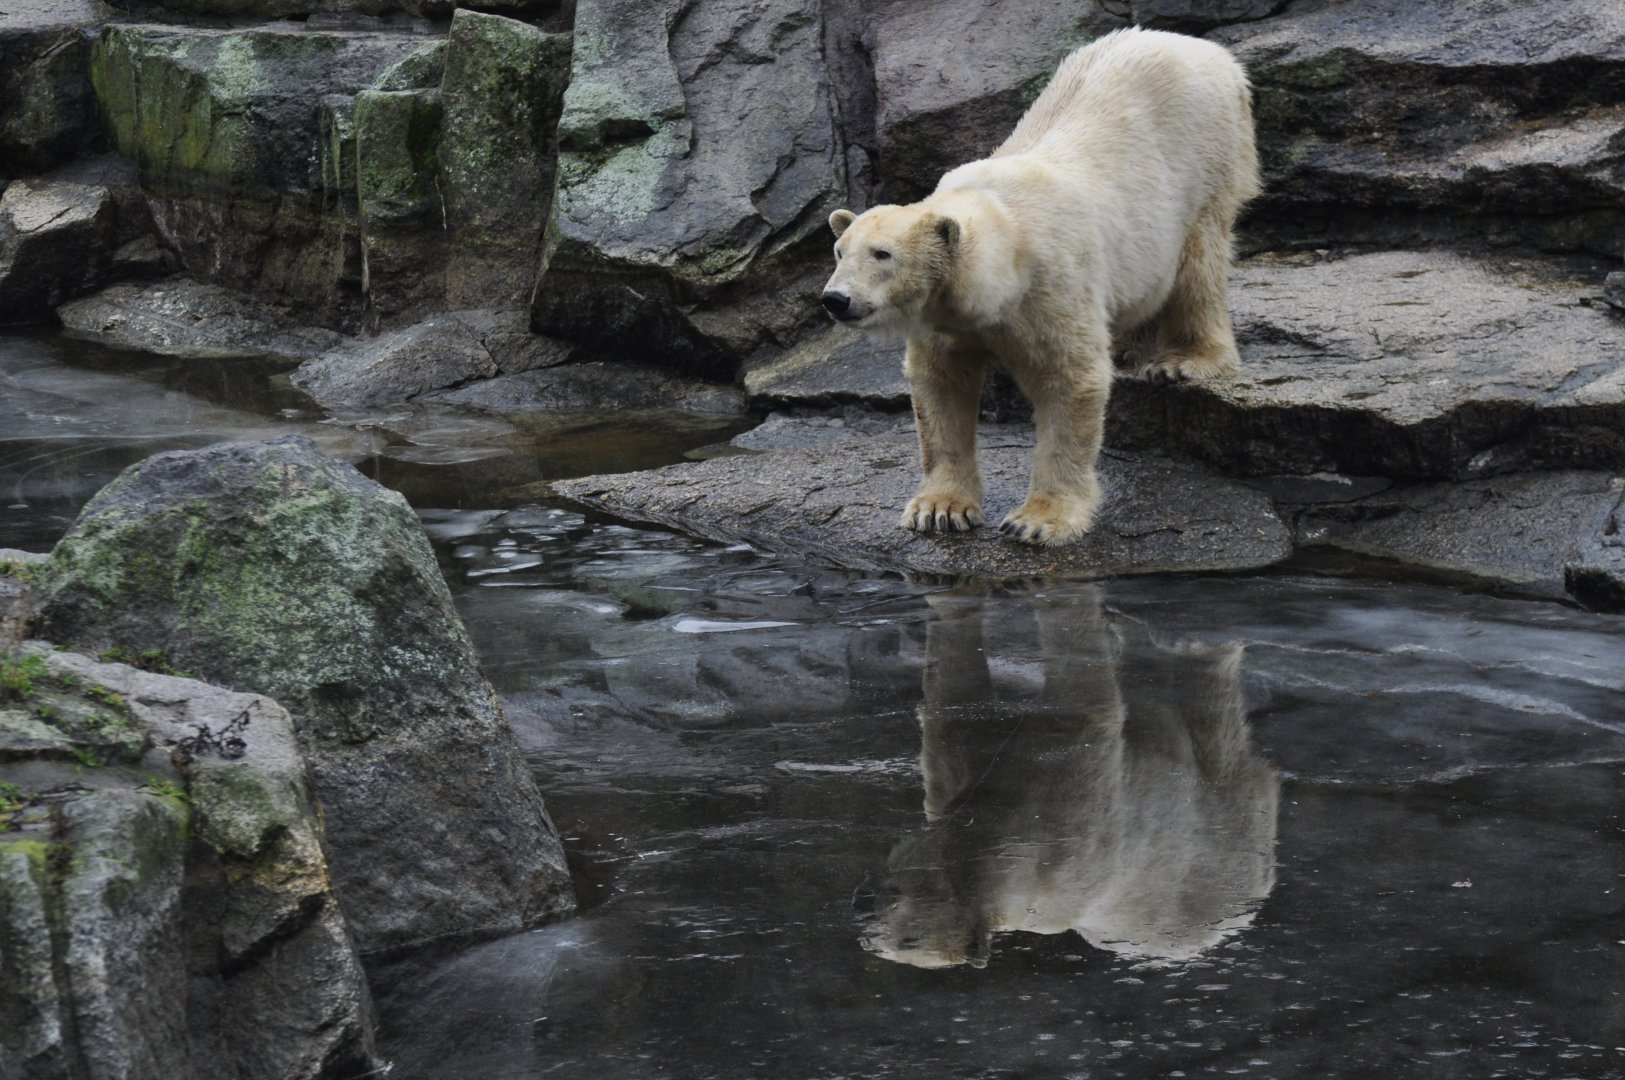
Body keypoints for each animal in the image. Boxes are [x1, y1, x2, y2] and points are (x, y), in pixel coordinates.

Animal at [822, 28, 1260, 545]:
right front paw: (940, 509)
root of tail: (1208, 50)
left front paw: (1037, 520)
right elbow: (940, 388)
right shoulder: (943, 322)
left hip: (1207, 155)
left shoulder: (1051, 286)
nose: (835, 299)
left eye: (882, 254)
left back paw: (1184, 359)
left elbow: (1070, 381)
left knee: (1198, 263)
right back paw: (1128, 345)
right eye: (839, 251)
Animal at [857, 585, 1280, 969]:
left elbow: (1084, 706)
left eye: (910, 940)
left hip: (1221, 838)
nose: (866, 932)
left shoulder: (1069, 819)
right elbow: (955, 710)